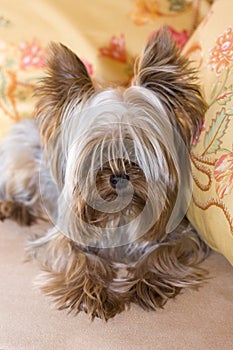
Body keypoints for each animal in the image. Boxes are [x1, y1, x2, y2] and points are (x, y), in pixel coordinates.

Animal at [0, 29, 208, 320]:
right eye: (96, 153)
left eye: (138, 149)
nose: (119, 177)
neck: (120, 215)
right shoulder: (62, 236)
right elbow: (76, 258)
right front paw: (89, 291)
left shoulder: (182, 235)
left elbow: (164, 253)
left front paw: (147, 283)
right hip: (22, 167)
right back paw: (13, 208)